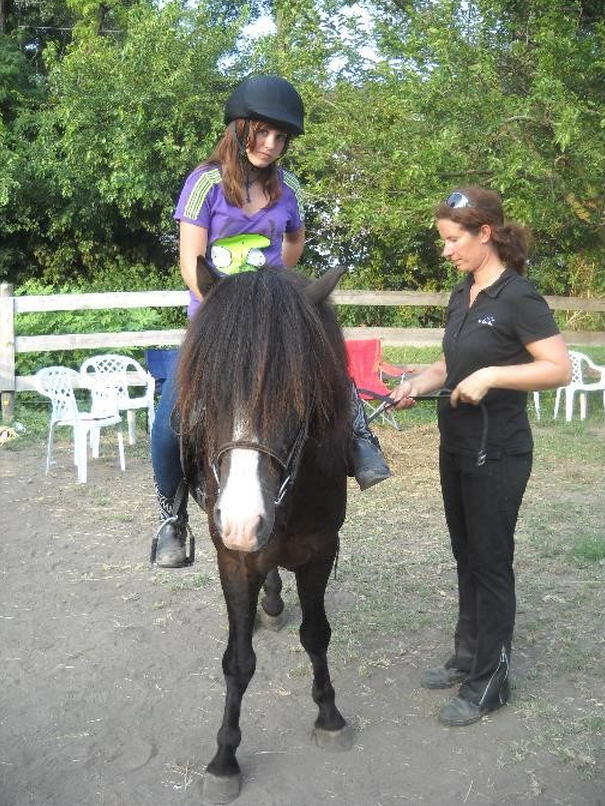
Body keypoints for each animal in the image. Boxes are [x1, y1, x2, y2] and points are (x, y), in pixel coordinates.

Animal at [175, 264, 352, 800]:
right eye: (207, 394)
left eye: (300, 397)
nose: (241, 520)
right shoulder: (233, 559)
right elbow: (237, 661)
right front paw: (224, 760)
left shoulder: (320, 550)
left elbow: (316, 635)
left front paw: (329, 716)